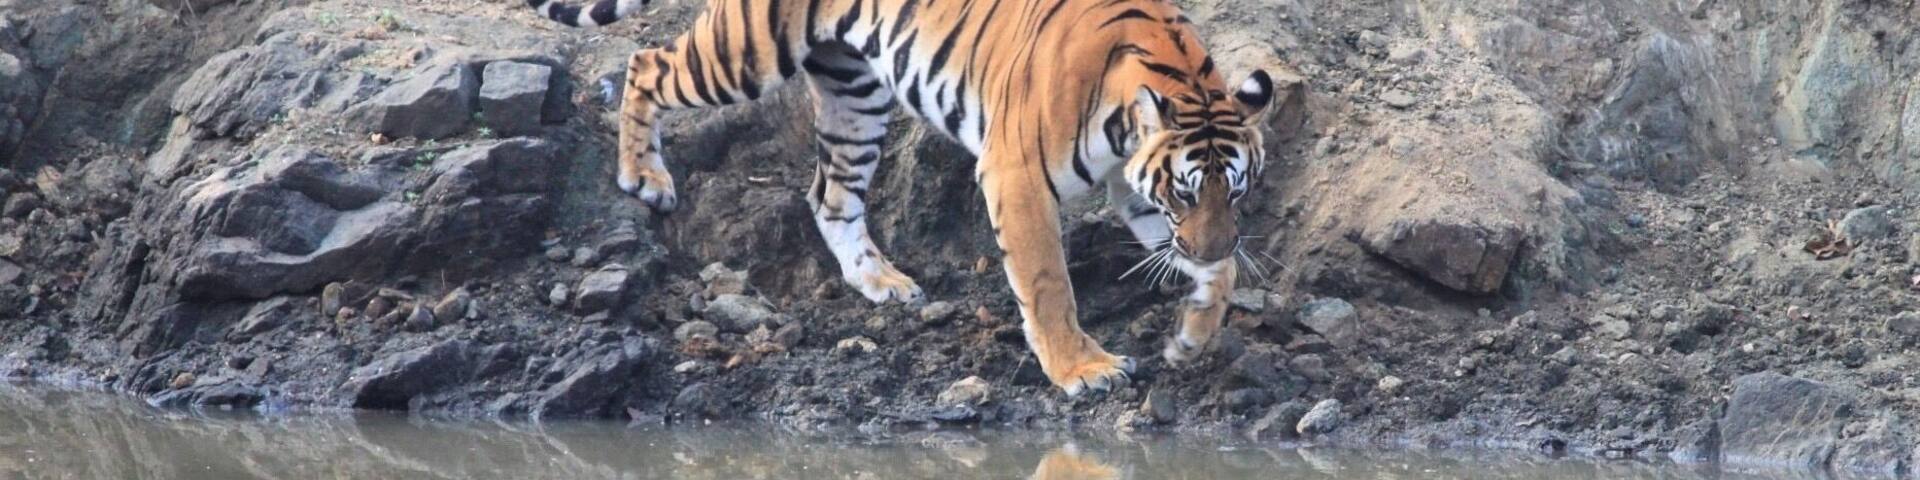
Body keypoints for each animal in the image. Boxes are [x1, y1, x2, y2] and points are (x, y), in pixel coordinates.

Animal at [526, 0, 1275, 396]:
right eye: (1185, 192)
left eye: (1234, 192)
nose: (1213, 233)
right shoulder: (1016, 175)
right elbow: (1047, 282)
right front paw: (1082, 367)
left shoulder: (1137, 190)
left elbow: (1219, 270)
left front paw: (1193, 336)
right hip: (745, 52)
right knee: (647, 63)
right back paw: (643, 178)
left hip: (855, 93)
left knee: (828, 195)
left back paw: (880, 282)